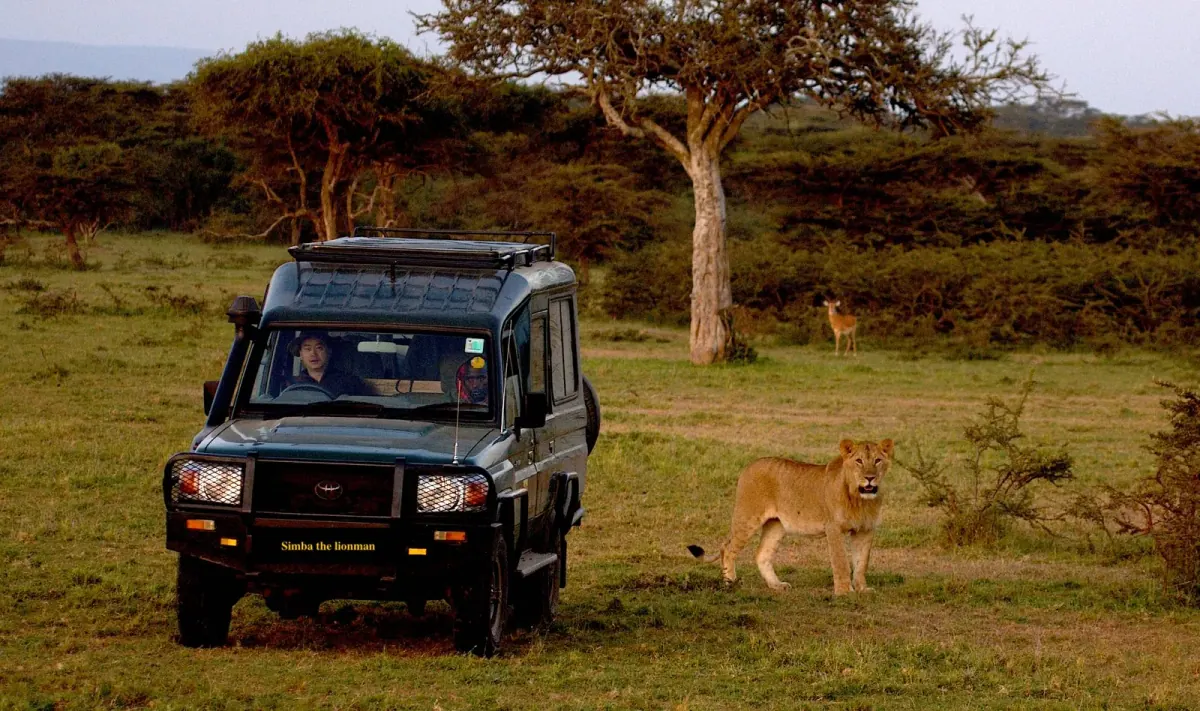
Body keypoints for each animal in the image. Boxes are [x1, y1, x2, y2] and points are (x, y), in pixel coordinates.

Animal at [688, 439, 894, 595]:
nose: (870, 478)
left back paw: (776, 585)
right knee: (728, 548)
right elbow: (841, 561)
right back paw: (730, 582)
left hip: (776, 525)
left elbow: (861, 562)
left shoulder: (866, 530)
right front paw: (844, 591)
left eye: (877, 461)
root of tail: (750, 465)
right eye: (859, 461)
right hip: (748, 517)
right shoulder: (833, 528)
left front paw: (862, 589)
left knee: (761, 554)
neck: (861, 500)